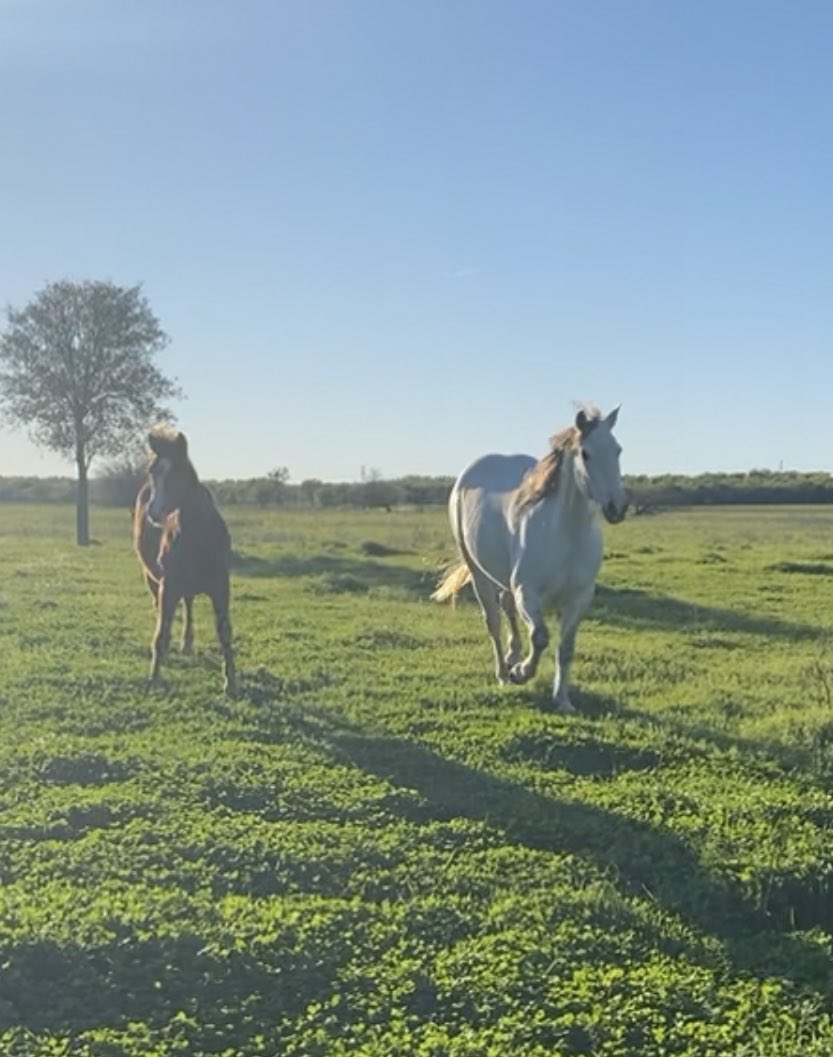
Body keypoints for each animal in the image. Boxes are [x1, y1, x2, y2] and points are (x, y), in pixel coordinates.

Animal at [132, 429, 237, 696]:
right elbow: (161, 634)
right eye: (152, 471)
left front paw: (231, 683)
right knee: (161, 613)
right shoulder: (168, 585)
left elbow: (224, 632)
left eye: (178, 471)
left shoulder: (221, 586)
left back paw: (187, 643)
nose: (153, 512)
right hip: (152, 579)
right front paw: (154, 679)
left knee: (188, 605)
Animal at [432, 406, 627, 712]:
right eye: (585, 453)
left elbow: (565, 648)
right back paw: (503, 672)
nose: (617, 507)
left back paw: (513, 655)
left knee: (507, 608)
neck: (567, 533)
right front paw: (521, 673)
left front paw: (563, 700)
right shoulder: (528, 593)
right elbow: (541, 637)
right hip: (479, 575)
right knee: (493, 622)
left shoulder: (579, 597)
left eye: (618, 450)